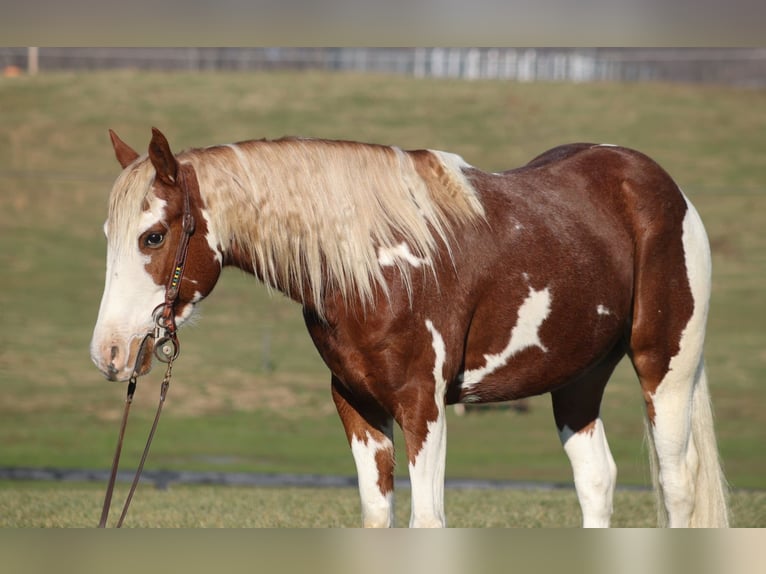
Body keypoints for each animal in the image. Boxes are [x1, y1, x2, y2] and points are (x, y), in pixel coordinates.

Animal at [90, 128, 729, 527]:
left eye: (152, 235)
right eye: (108, 235)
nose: (109, 352)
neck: (375, 265)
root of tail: (659, 185)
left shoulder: (424, 406)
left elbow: (428, 517)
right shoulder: (358, 406)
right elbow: (378, 514)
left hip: (664, 370)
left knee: (677, 484)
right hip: (576, 380)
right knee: (597, 480)